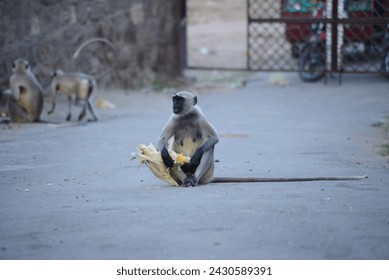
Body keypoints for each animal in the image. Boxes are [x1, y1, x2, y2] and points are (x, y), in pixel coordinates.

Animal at [156, 92, 366, 187]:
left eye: (178, 100)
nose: (173, 104)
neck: (186, 116)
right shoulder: (174, 118)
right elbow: (161, 142)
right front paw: (167, 155)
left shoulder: (199, 116)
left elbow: (214, 139)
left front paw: (197, 156)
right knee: (169, 160)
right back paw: (184, 178)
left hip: (207, 174)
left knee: (209, 149)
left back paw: (193, 179)